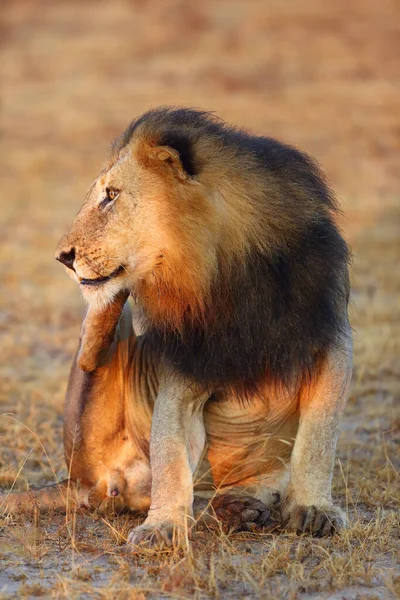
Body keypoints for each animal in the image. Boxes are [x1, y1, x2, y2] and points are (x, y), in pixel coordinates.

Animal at [1, 106, 352, 548]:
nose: (63, 256)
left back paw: (240, 508)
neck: (224, 273)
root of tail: (76, 483)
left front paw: (314, 510)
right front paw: (162, 526)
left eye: (112, 195)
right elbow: (170, 455)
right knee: (93, 346)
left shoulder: (331, 348)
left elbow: (317, 442)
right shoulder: (184, 369)